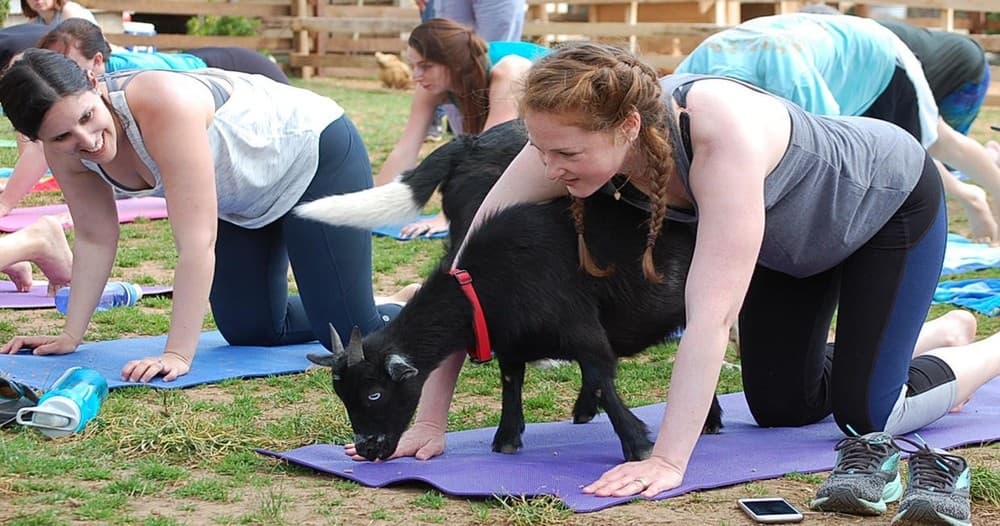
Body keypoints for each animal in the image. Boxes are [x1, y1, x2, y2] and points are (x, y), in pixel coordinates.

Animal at [296, 120, 723, 462]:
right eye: (342, 395)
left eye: (374, 394)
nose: (368, 449)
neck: (487, 281)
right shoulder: (512, 344)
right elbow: (510, 381)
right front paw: (506, 439)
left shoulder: (582, 330)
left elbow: (602, 378)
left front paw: (639, 446)